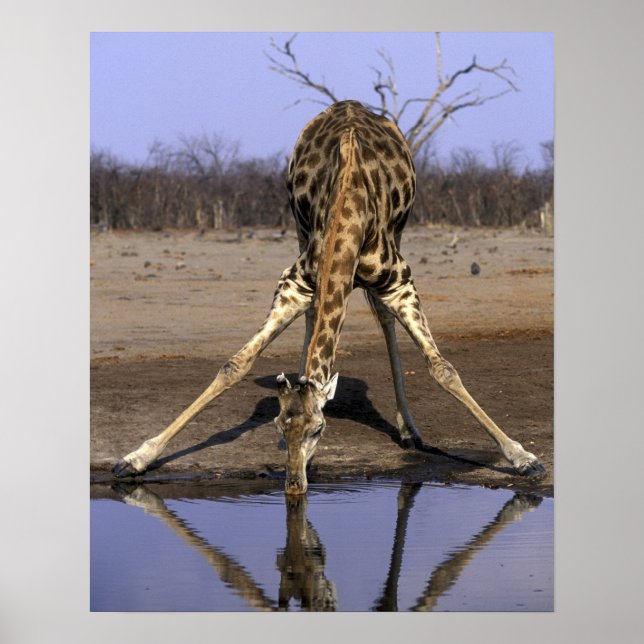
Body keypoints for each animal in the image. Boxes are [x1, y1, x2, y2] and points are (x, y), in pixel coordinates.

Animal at [113, 100, 545, 493]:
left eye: (319, 429)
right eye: (278, 426)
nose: (294, 485)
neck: (349, 207)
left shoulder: (400, 281)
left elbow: (443, 369)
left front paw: (524, 458)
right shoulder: (295, 282)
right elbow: (235, 364)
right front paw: (135, 458)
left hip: (399, 236)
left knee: (384, 320)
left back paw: (409, 431)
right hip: (297, 225)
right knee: (316, 315)